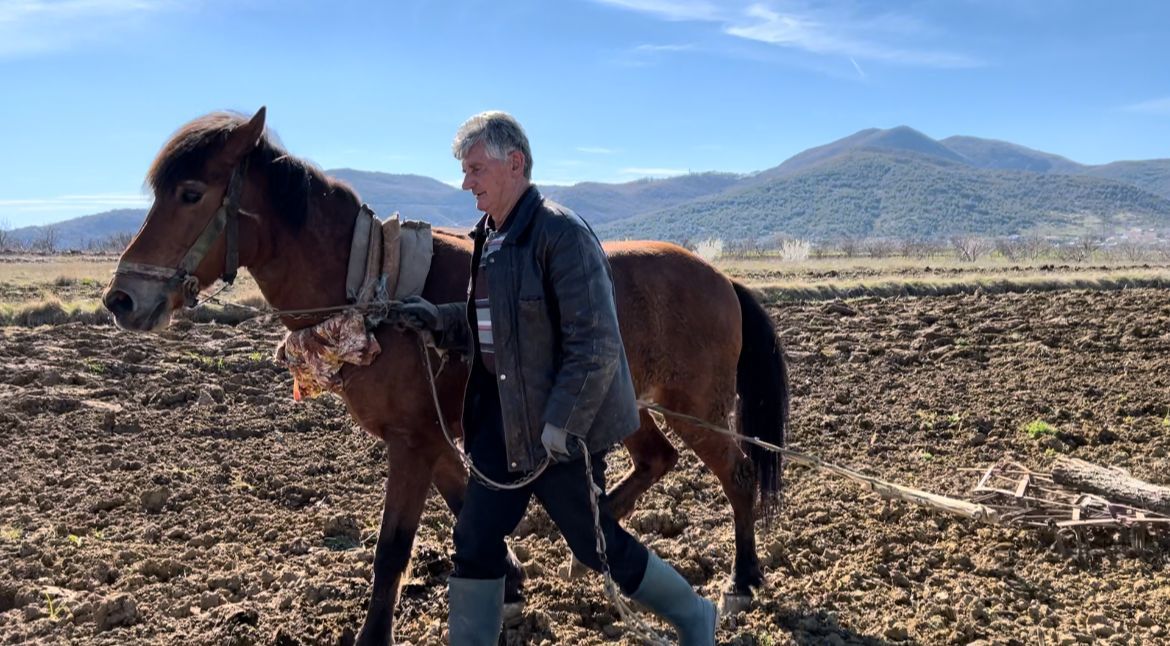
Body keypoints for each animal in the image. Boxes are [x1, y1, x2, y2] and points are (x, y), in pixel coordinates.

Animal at [102, 108, 786, 641]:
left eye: (192, 193)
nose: (122, 299)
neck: (369, 288)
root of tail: (720, 276)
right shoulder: (436, 438)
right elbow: (465, 513)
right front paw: (511, 584)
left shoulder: (413, 441)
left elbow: (392, 550)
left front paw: (376, 635)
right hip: (631, 402)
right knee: (653, 461)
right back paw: (590, 548)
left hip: (696, 403)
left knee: (737, 474)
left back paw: (740, 581)